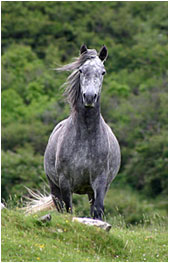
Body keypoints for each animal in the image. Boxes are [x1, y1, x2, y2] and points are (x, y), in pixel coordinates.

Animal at [43, 44, 120, 220]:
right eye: (81, 70)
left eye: (103, 72)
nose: (90, 97)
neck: (86, 136)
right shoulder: (65, 182)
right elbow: (68, 209)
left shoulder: (100, 181)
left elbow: (97, 210)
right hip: (54, 186)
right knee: (60, 207)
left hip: (92, 190)